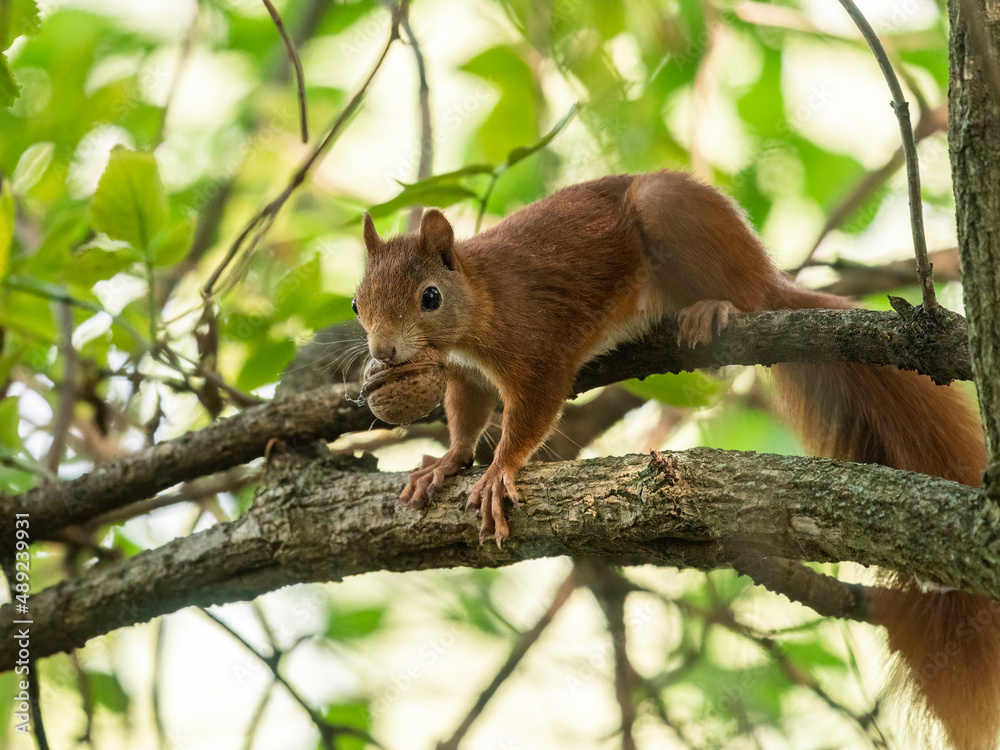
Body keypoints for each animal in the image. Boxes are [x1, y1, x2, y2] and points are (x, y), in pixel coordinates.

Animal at [356, 170, 996, 750]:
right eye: (358, 302)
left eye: (430, 298)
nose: (383, 353)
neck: (480, 296)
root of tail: (764, 273)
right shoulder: (463, 371)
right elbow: (465, 414)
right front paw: (447, 462)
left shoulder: (537, 347)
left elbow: (533, 411)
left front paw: (498, 472)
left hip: (678, 223)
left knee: (745, 298)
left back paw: (712, 308)